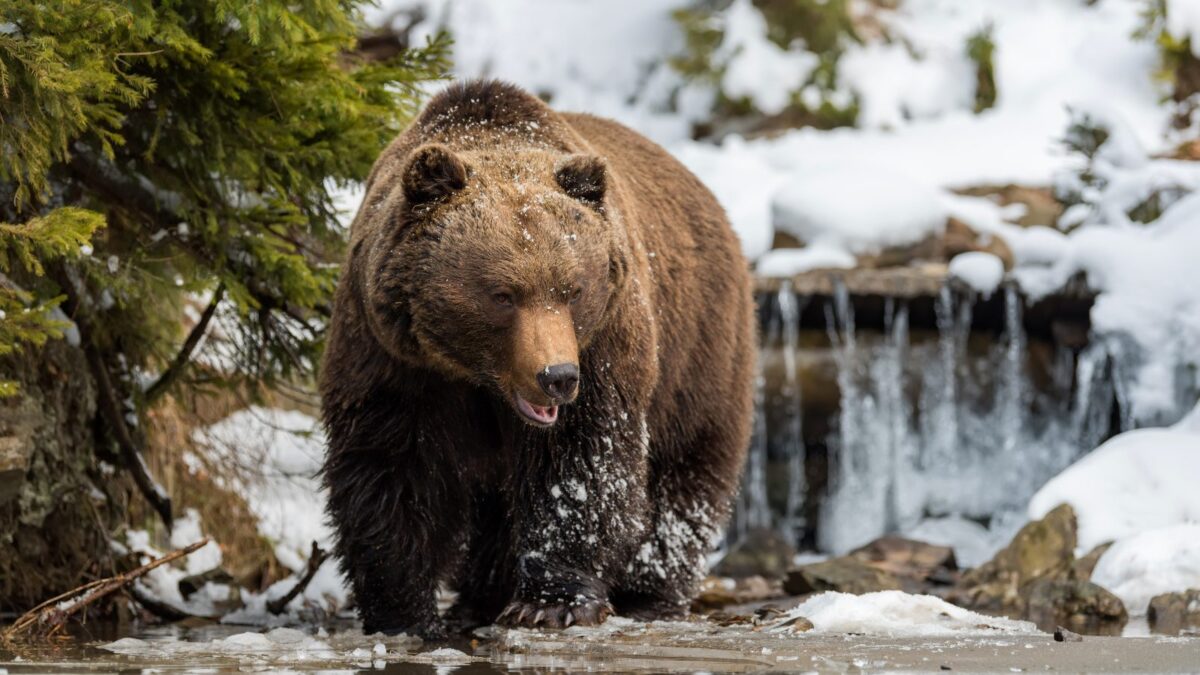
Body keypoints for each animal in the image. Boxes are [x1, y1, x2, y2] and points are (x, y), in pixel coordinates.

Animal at [320, 79, 755, 638]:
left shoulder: (604, 345)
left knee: (684, 471)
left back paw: (649, 594)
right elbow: (392, 466)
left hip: (699, 349)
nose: (557, 377)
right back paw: (479, 597)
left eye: (573, 289)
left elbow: (579, 465)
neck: (477, 376)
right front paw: (403, 612)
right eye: (502, 294)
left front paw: (552, 602)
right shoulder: (392, 356)